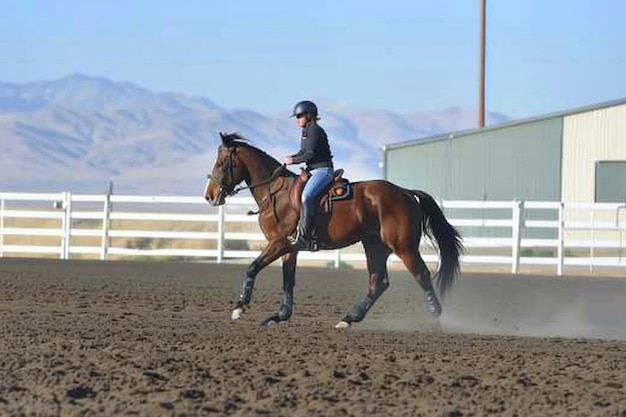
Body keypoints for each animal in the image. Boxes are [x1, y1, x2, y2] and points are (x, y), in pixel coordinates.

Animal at [202, 132, 460, 326]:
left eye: (221, 163)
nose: (209, 196)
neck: (275, 193)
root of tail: (405, 192)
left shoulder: (279, 243)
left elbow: (252, 268)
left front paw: (239, 307)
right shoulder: (289, 249)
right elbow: (288, 281)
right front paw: (280, 316)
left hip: (404, 247)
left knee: (421, 275)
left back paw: (436, 317)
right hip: (375, 246)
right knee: (378, 282)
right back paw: (348, 319)